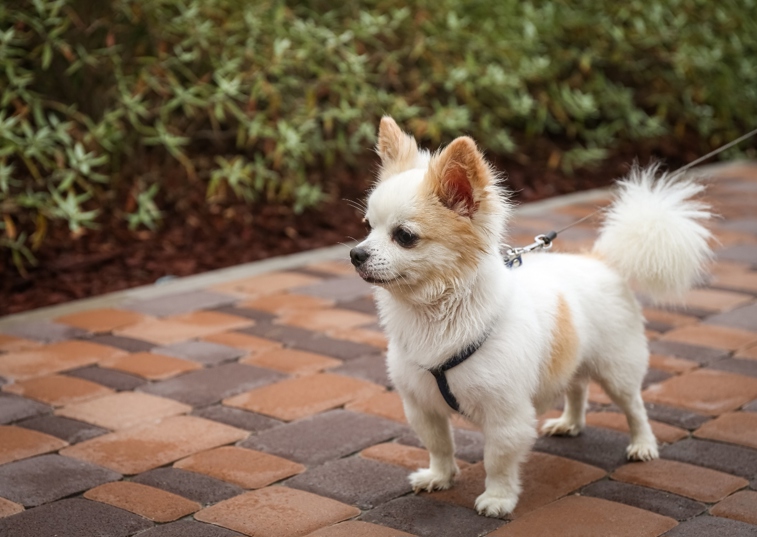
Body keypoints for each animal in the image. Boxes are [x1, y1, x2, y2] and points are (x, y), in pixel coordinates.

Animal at [348, 116, 708, 516]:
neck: (435, 315)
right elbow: (439, 445)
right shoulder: (421, 406)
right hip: (575, 359)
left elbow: (497, 460)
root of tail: (601, 260)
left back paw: (643, 444)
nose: (356, 254)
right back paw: (570, 423)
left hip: (617, 368)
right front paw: (440, 477)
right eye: (367, 227)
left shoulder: (506, 415)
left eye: (404, 236)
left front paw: (497, 498)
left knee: (634, 406)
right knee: (577, 387)